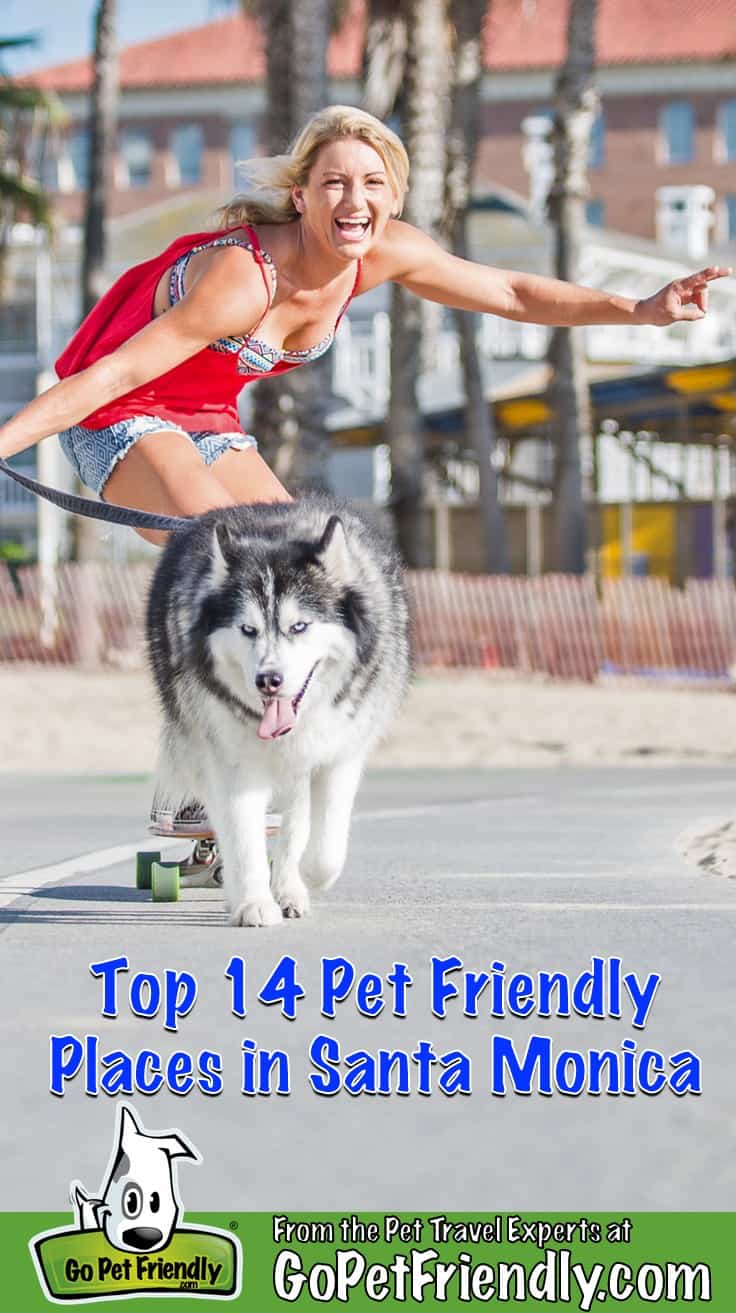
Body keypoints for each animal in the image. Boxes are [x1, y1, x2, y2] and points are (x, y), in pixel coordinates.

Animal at [146, 496, 409, 929]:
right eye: (248, 629)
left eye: (299, 626)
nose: (268, 680)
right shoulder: (232, 761)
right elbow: (242, 834)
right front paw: (253, 901)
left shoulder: (339, 756)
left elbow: (324, 847)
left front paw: (300, 878)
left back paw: (288, 886)